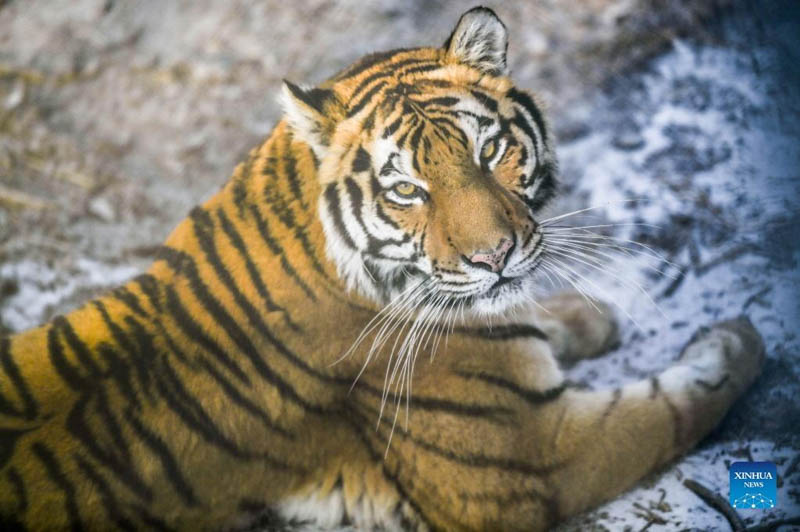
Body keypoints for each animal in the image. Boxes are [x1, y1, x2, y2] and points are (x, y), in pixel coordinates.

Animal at [0, 5, 764, 532]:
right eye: (406, 190)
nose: (495, 256)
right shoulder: (533, 456)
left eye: (489, 152)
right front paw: (738, 342)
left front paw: (583, 315)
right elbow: (672, 408)